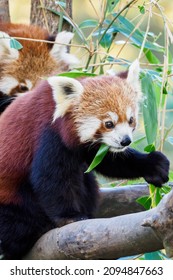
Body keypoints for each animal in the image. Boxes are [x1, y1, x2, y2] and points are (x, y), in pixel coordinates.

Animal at [0, 60, 169, 258]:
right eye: (109, 123)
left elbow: (110, 161)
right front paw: (69, 216)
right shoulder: (48, 134)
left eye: (131, 120)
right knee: (16, 225)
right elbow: (51, 178)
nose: (125, 140)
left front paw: (153, 165)